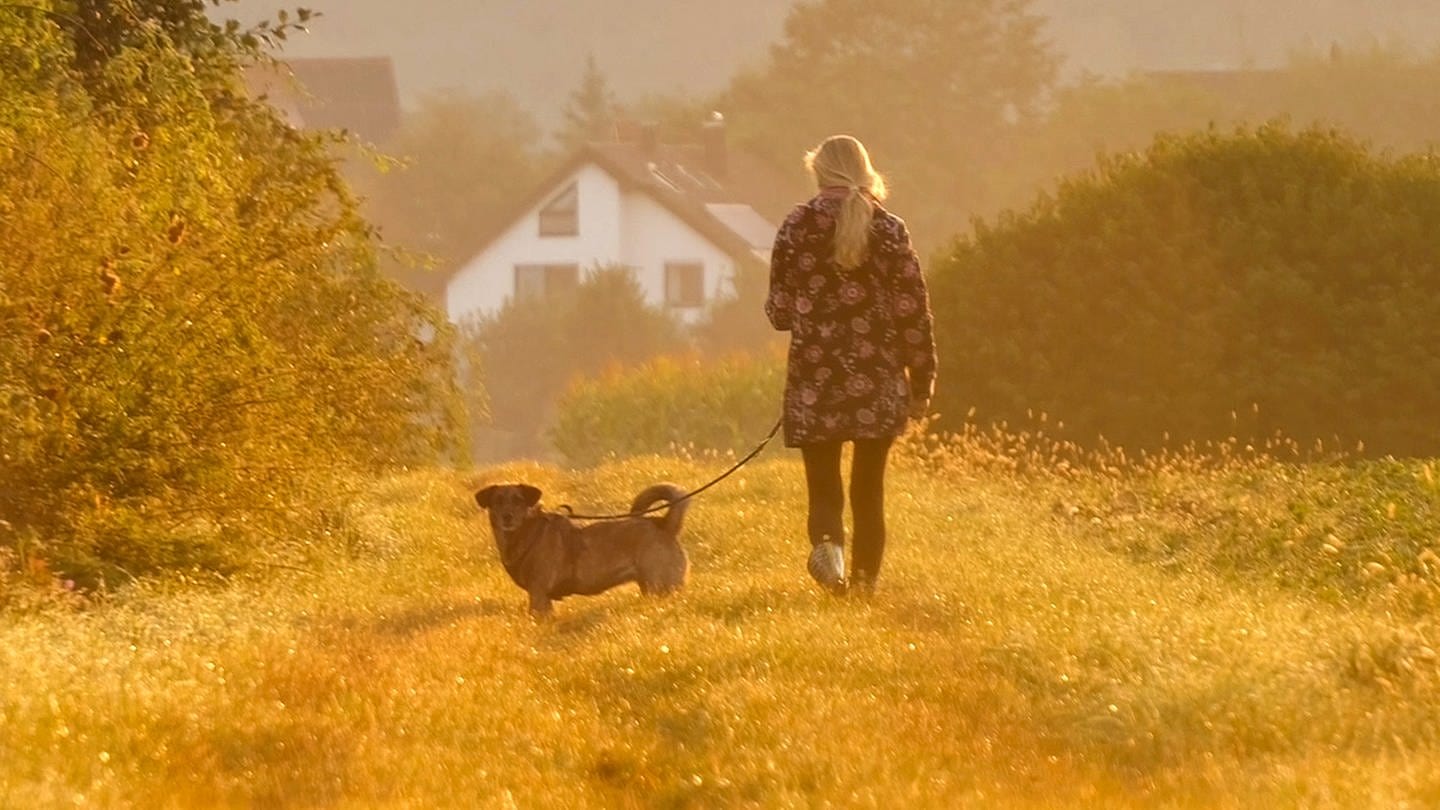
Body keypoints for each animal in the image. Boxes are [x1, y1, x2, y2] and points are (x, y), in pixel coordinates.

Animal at [472, 478, 691, 611]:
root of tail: (664, 523)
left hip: (661, 586)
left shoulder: (539, 595)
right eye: (497, 501)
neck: (527, 532)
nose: (507, 517)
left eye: (518, 500)